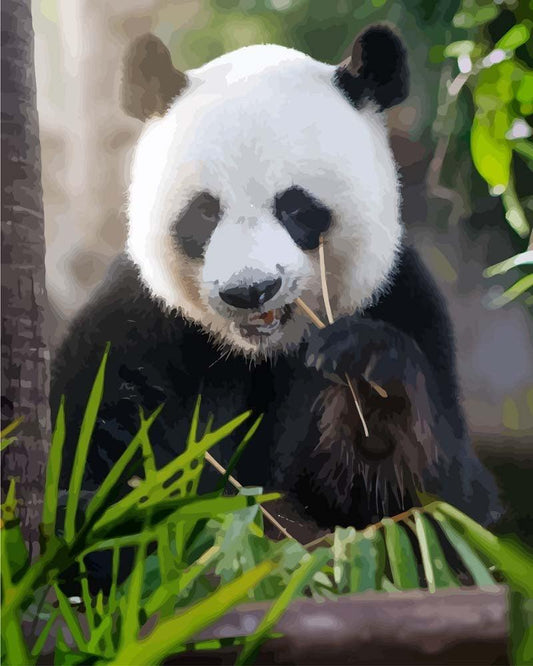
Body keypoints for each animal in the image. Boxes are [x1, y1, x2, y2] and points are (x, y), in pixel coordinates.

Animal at [52, 26, 501, 551]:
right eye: (204, 212)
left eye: (296, 208)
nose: (251, 290)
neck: (259, 352)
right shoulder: (136, 329)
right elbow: (88, 462)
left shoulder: (403, 303)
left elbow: (440, 517)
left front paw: (366, 380)